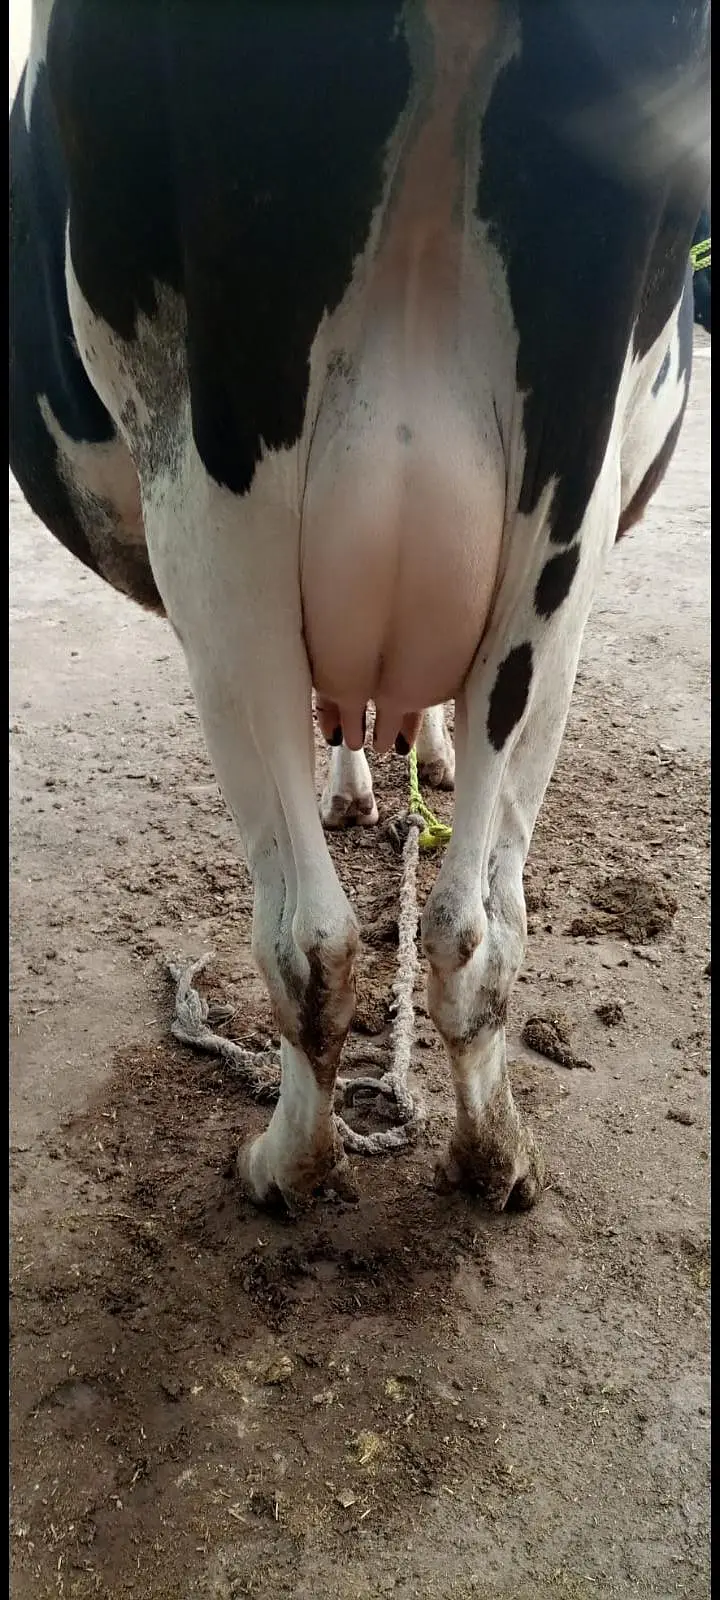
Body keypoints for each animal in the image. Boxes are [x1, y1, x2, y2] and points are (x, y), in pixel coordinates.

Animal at [10, 2, 709, 1213]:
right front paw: (390, 760)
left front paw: (382, 763)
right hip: (565, 506)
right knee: (473, 927)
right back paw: (492, 1158)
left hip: (213, 494)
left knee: (310, 934)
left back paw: (290, 1164)